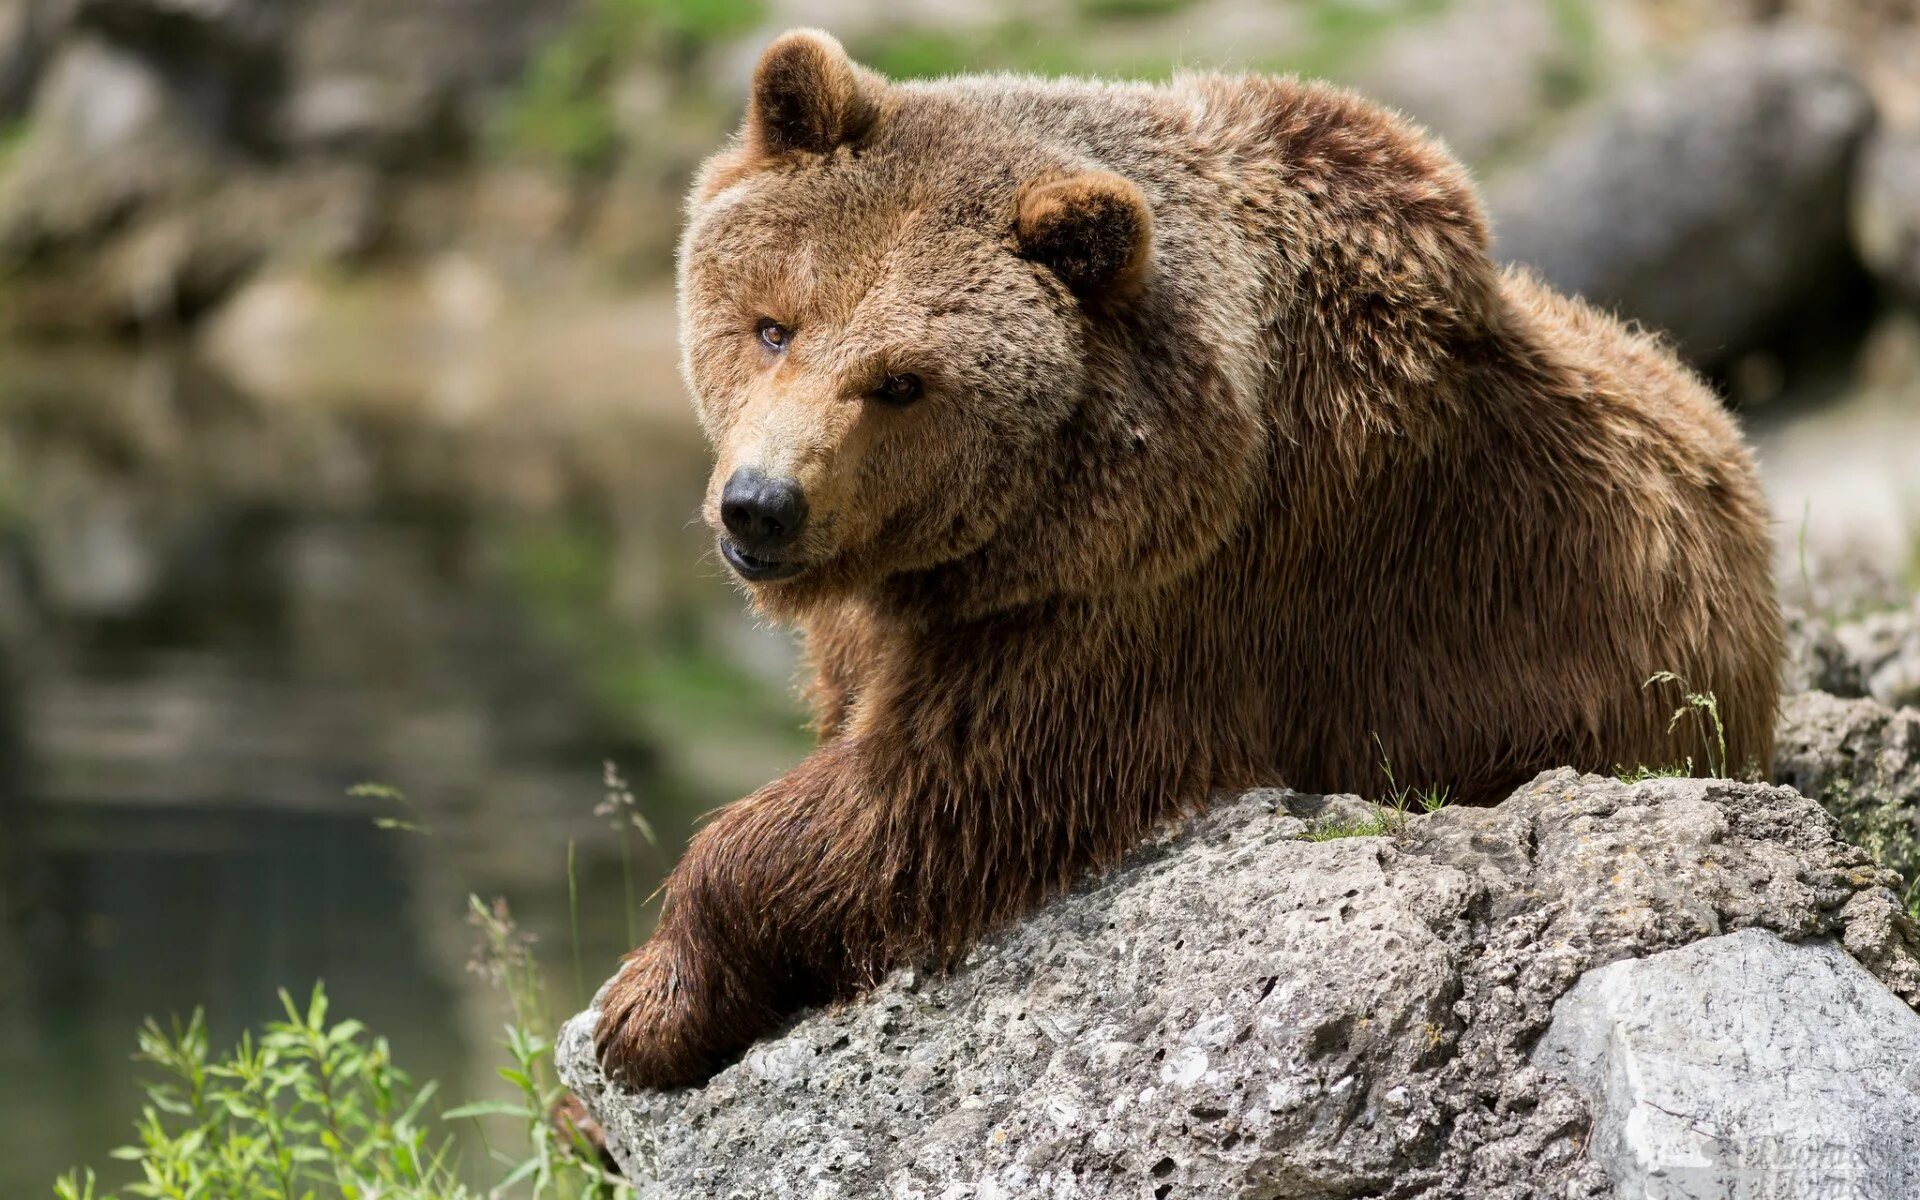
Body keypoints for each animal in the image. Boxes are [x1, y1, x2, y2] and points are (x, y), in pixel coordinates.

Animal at [599, 28, 1781, 1090]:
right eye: (773, 326)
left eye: (900, 381)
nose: (762, 506)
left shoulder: (1164, 599)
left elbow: (934, 798)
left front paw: (646, 1006)